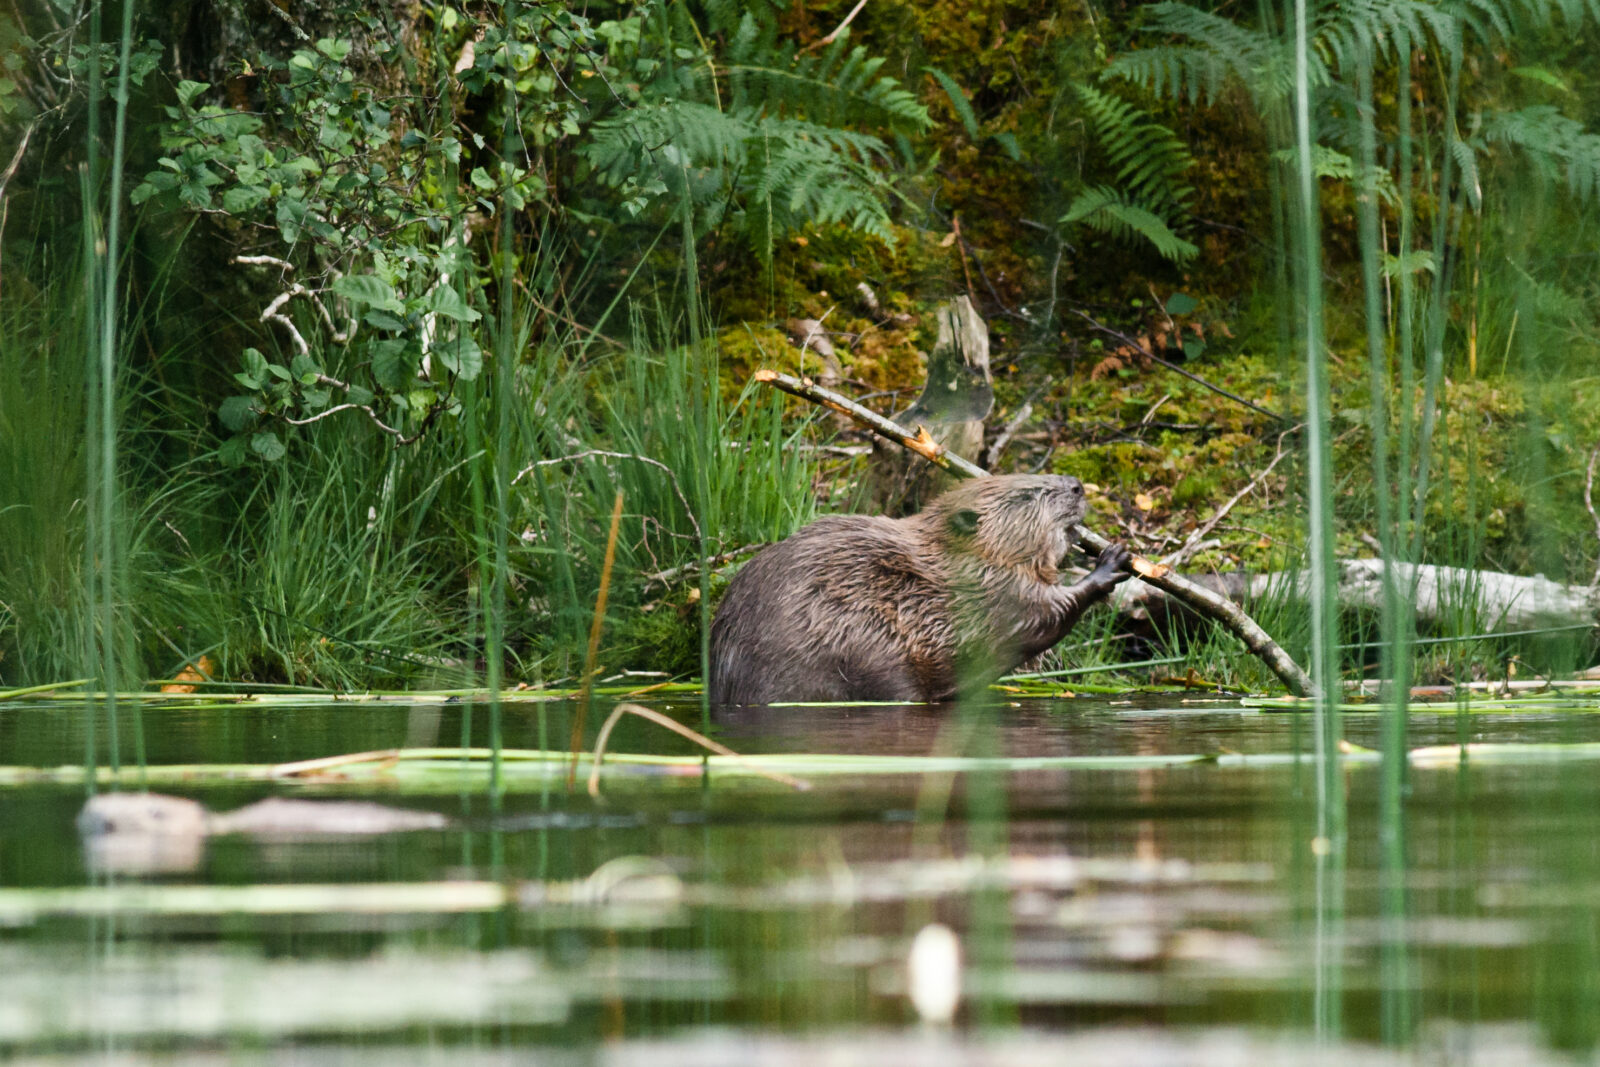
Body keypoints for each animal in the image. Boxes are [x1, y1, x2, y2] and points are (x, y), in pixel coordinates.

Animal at [707, 476, 1132, 710]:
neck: (954, 556)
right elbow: (1045, 613)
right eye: (1028, 494)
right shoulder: (992, 588)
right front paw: (1114, 560)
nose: (1077, 485)